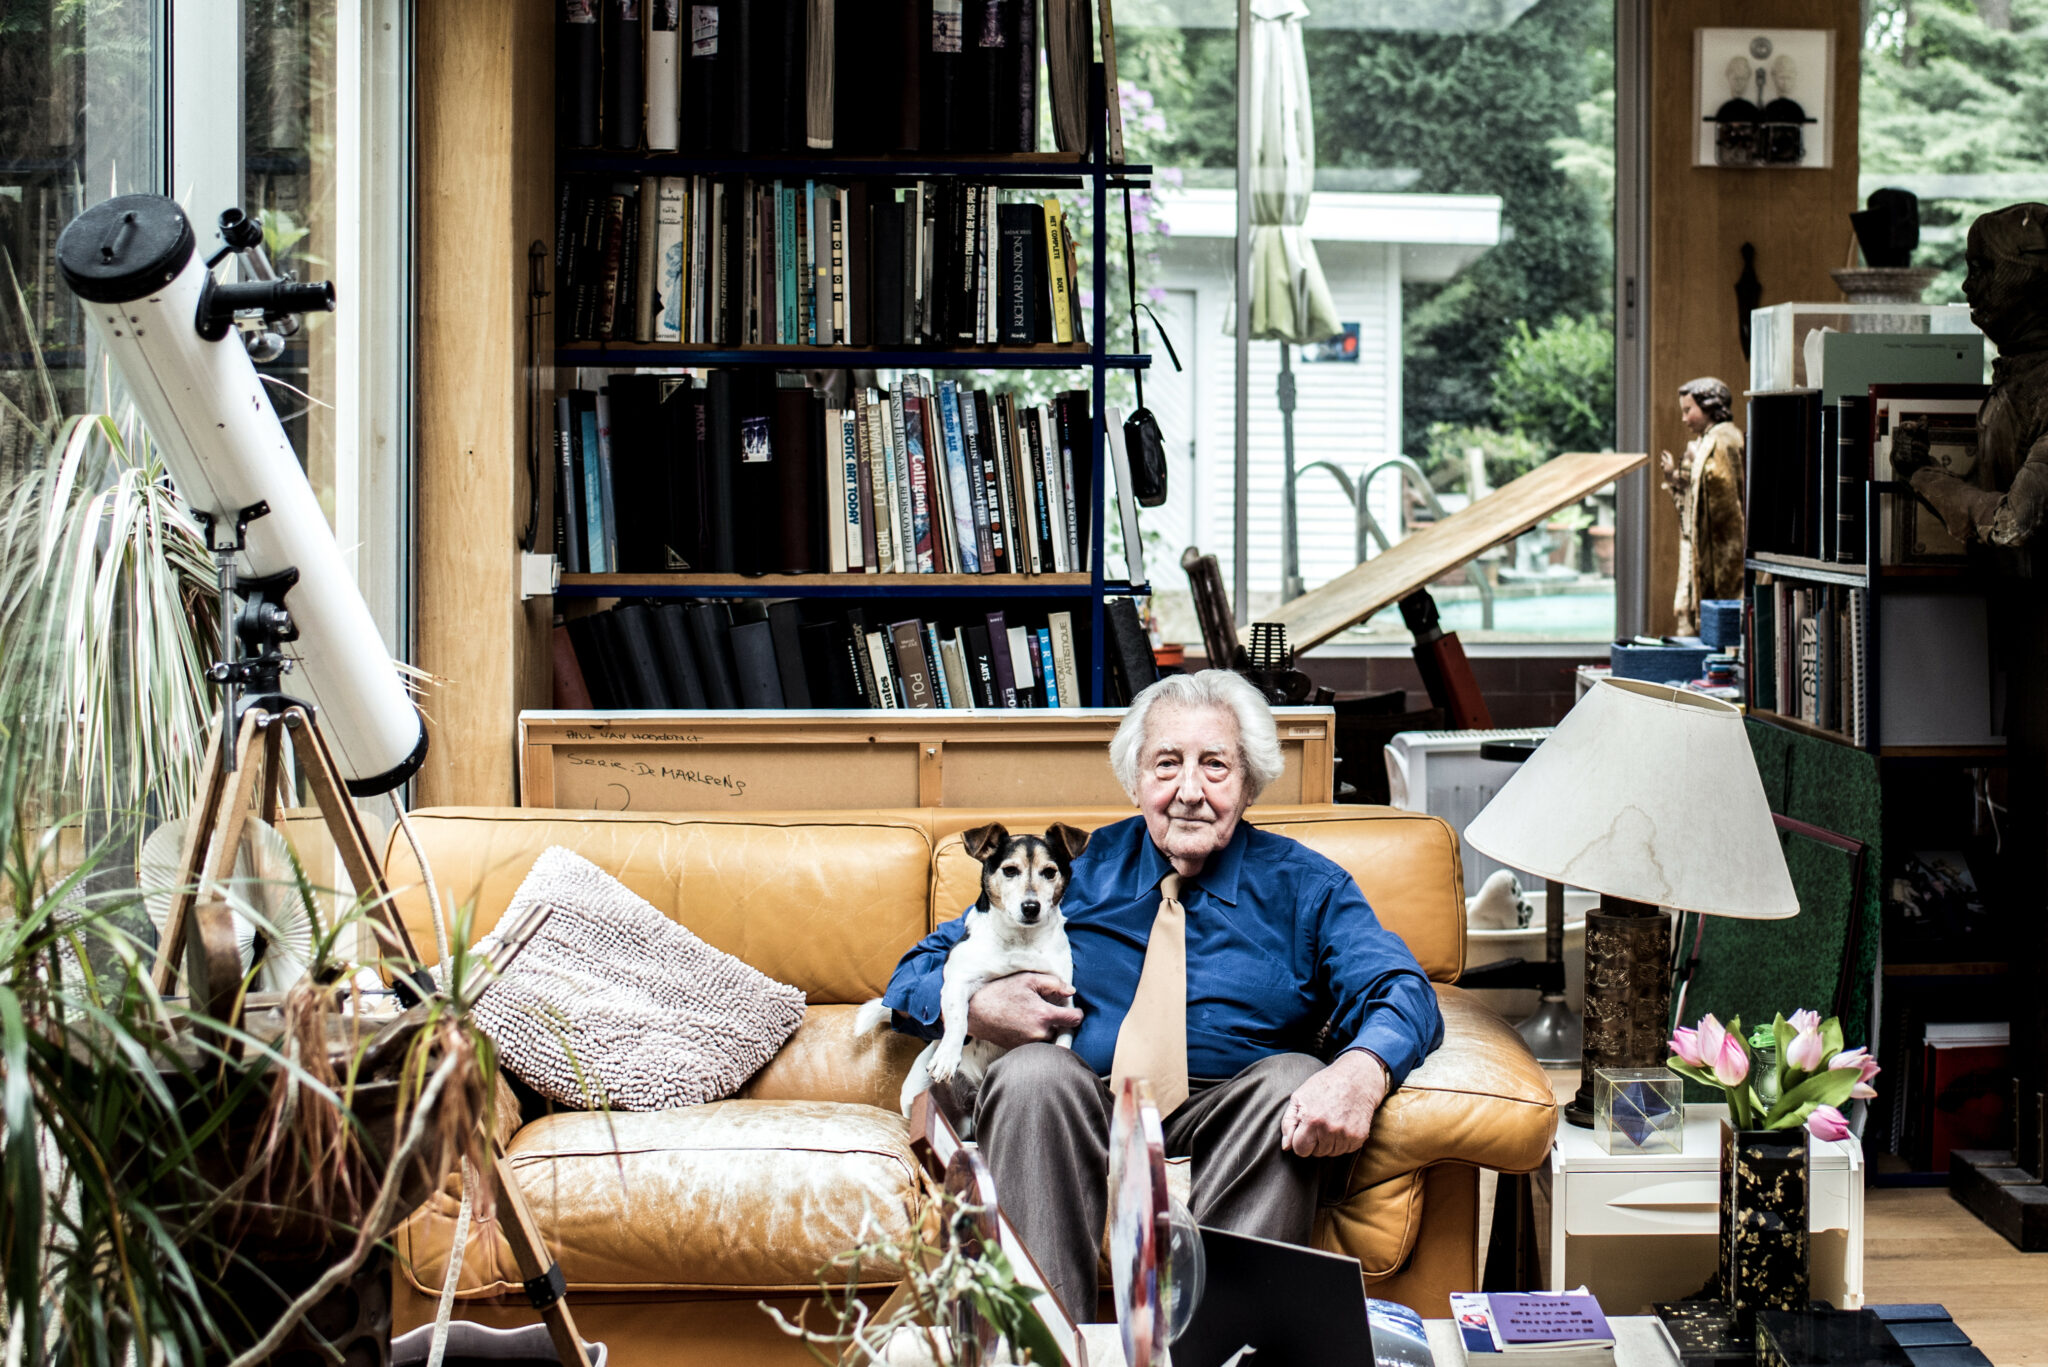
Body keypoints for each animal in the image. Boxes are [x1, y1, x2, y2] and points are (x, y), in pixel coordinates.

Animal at [855, 821, 1091, 1116]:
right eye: (1010, 870)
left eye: (1049, 872)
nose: (1030, 907)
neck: (1021, 940)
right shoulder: (958, 980)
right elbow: (959, 1019)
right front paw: (947, 1057)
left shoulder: (1065, 1001)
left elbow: (1064, 1039)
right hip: (914, 1093)